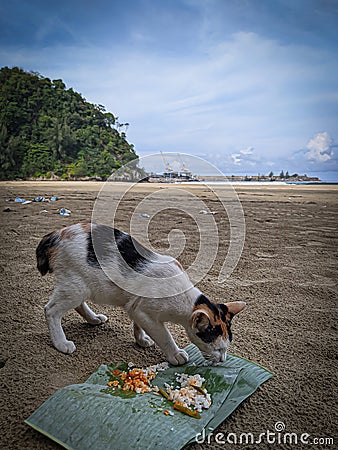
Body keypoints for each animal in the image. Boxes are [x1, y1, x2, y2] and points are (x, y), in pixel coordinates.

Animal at [37, 221, 246, 366]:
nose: (223, 360)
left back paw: (93, 319)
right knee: (51, 310)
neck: (184, 296)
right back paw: (61, 343)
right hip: (76, 286)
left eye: (226, 348)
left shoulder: (136, 306)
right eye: (218, 348)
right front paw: (175, 354)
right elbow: (164, 336)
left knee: (78, 305)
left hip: (81, 287)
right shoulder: (146, 312)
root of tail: (57, 234)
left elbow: (137, 323)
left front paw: (141, 339)